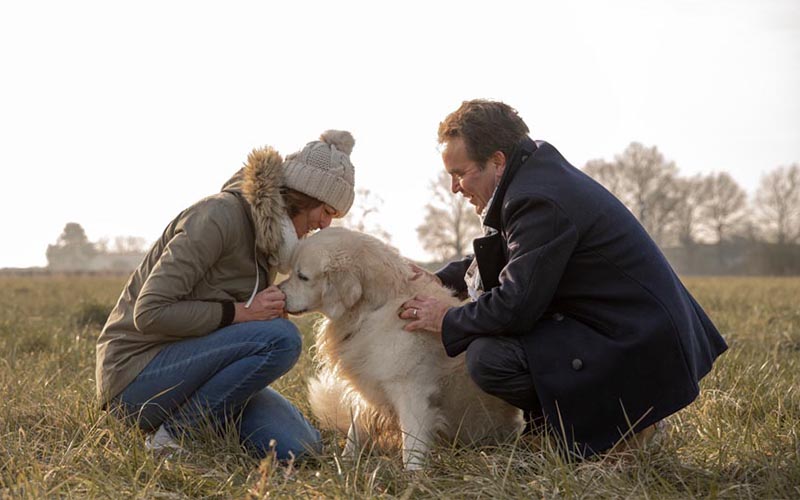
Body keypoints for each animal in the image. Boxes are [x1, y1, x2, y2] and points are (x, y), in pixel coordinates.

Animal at [278, 227, 520, 468]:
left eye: (302, 276)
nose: (278, 292)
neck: (372, 309)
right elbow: (354, 431)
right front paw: (346, 464)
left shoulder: (411, 390)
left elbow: (411, 444)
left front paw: (412, 475)